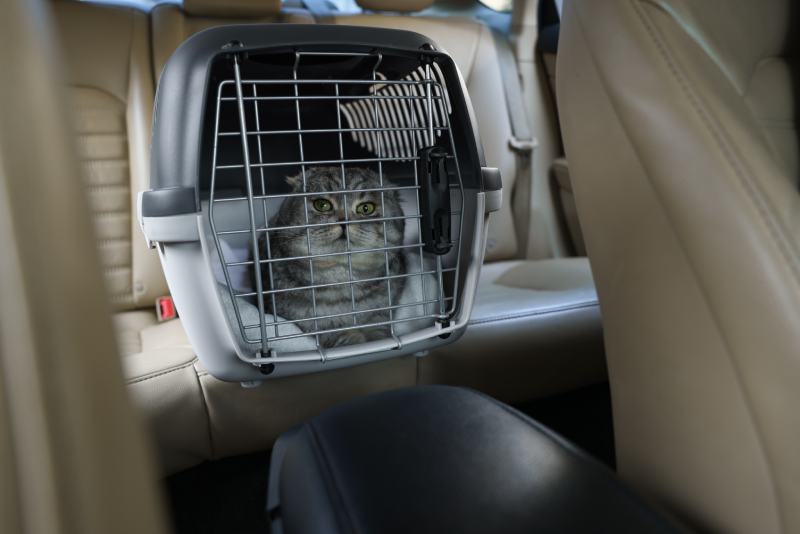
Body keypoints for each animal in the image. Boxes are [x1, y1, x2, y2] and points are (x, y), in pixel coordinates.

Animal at [258, 169, 406, 352]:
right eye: (322, 205)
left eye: (366, 208)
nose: (344, 222)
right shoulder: (308, 323)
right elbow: (335, 334)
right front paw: (354, 339)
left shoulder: (382, 310)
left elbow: (378, 329)